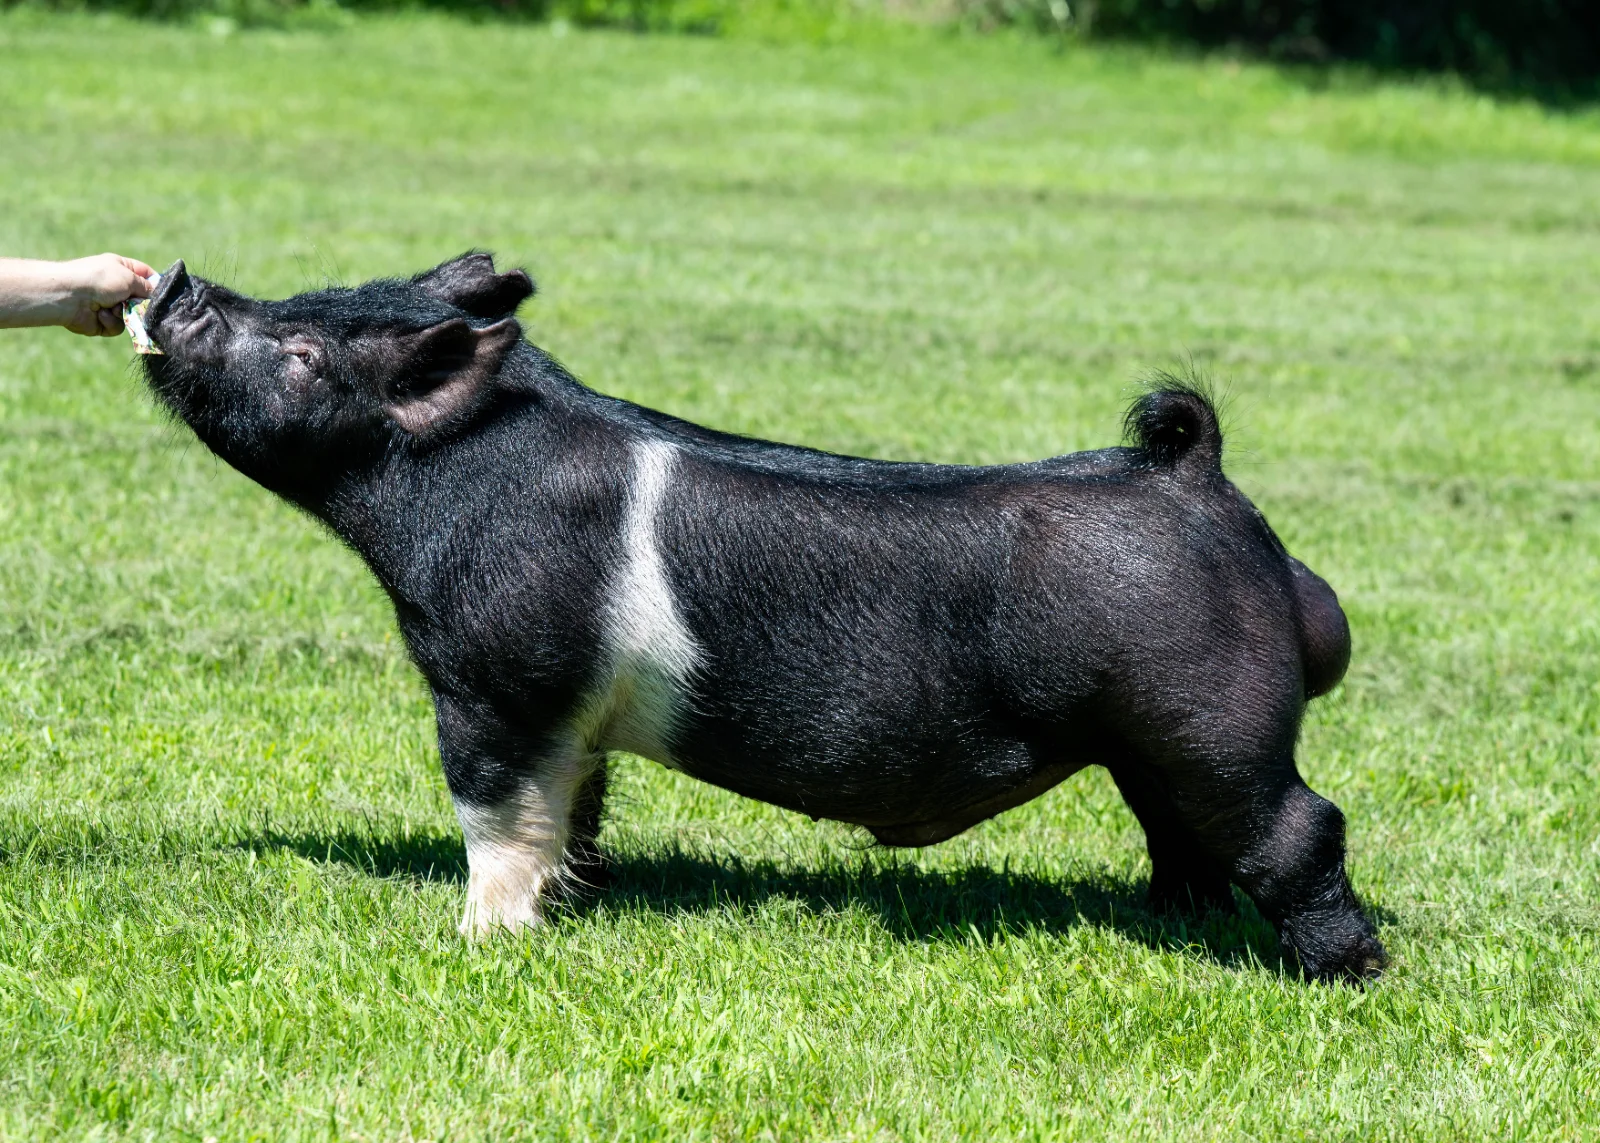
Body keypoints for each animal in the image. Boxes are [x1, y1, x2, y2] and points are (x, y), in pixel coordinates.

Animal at [140, 253, 1385, 981]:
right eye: (299, 298)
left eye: (302, 353)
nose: (179, 282)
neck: (457, 475)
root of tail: (1194, 479)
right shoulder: (571, 715)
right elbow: (575, 807)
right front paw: (576, 900)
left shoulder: (496, 681)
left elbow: (494, 813)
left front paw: (481, 942)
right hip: (1149, 740)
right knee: (1180, 833)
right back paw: (1174, 928)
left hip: (1209, 717)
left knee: (1299, 825)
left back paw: (1340, 973)